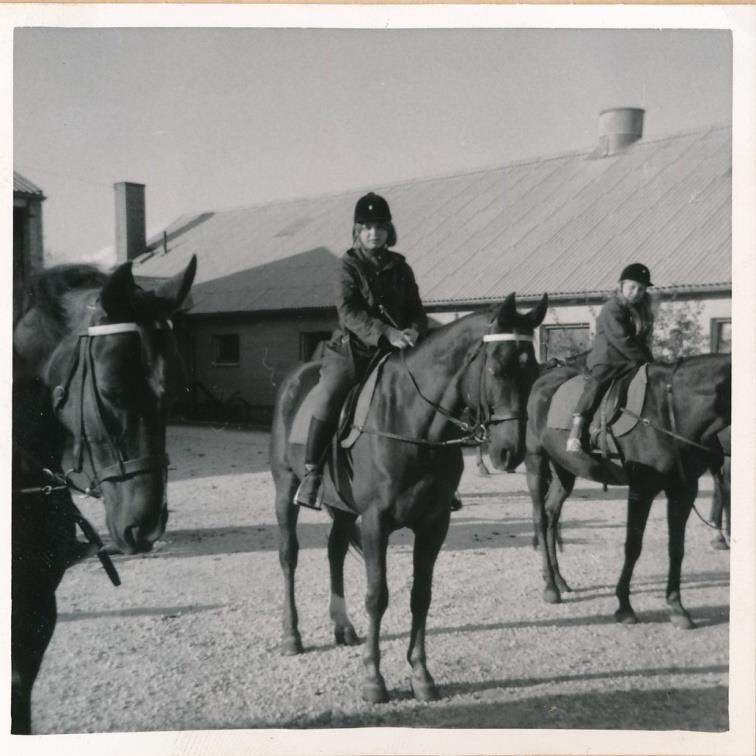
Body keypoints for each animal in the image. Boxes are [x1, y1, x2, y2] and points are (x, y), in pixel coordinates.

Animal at [272, 290, 548, 704]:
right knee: (289, 555)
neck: (414, 422)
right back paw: (292, 635)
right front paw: (373, 679)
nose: (508, 452)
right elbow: (377, 596)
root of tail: (296, 378)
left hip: (342, 508)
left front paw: (421, 674)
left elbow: (421, 595)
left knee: (335, 551)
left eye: (533, 372)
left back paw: (343, 627)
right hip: (285, 489)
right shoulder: (375, 522)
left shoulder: (434, 524)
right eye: (497, 368)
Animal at [524, 354, 732, 628]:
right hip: (536, 461)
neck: (670, 411)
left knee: (551, 514)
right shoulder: (641, 489)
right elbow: (633, 546)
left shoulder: (684, 491)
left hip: (564, 470)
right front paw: (624, 606)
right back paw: (550, 587)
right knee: (540, 517)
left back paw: (559, 580)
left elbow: (676, 549)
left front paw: (677, 607)